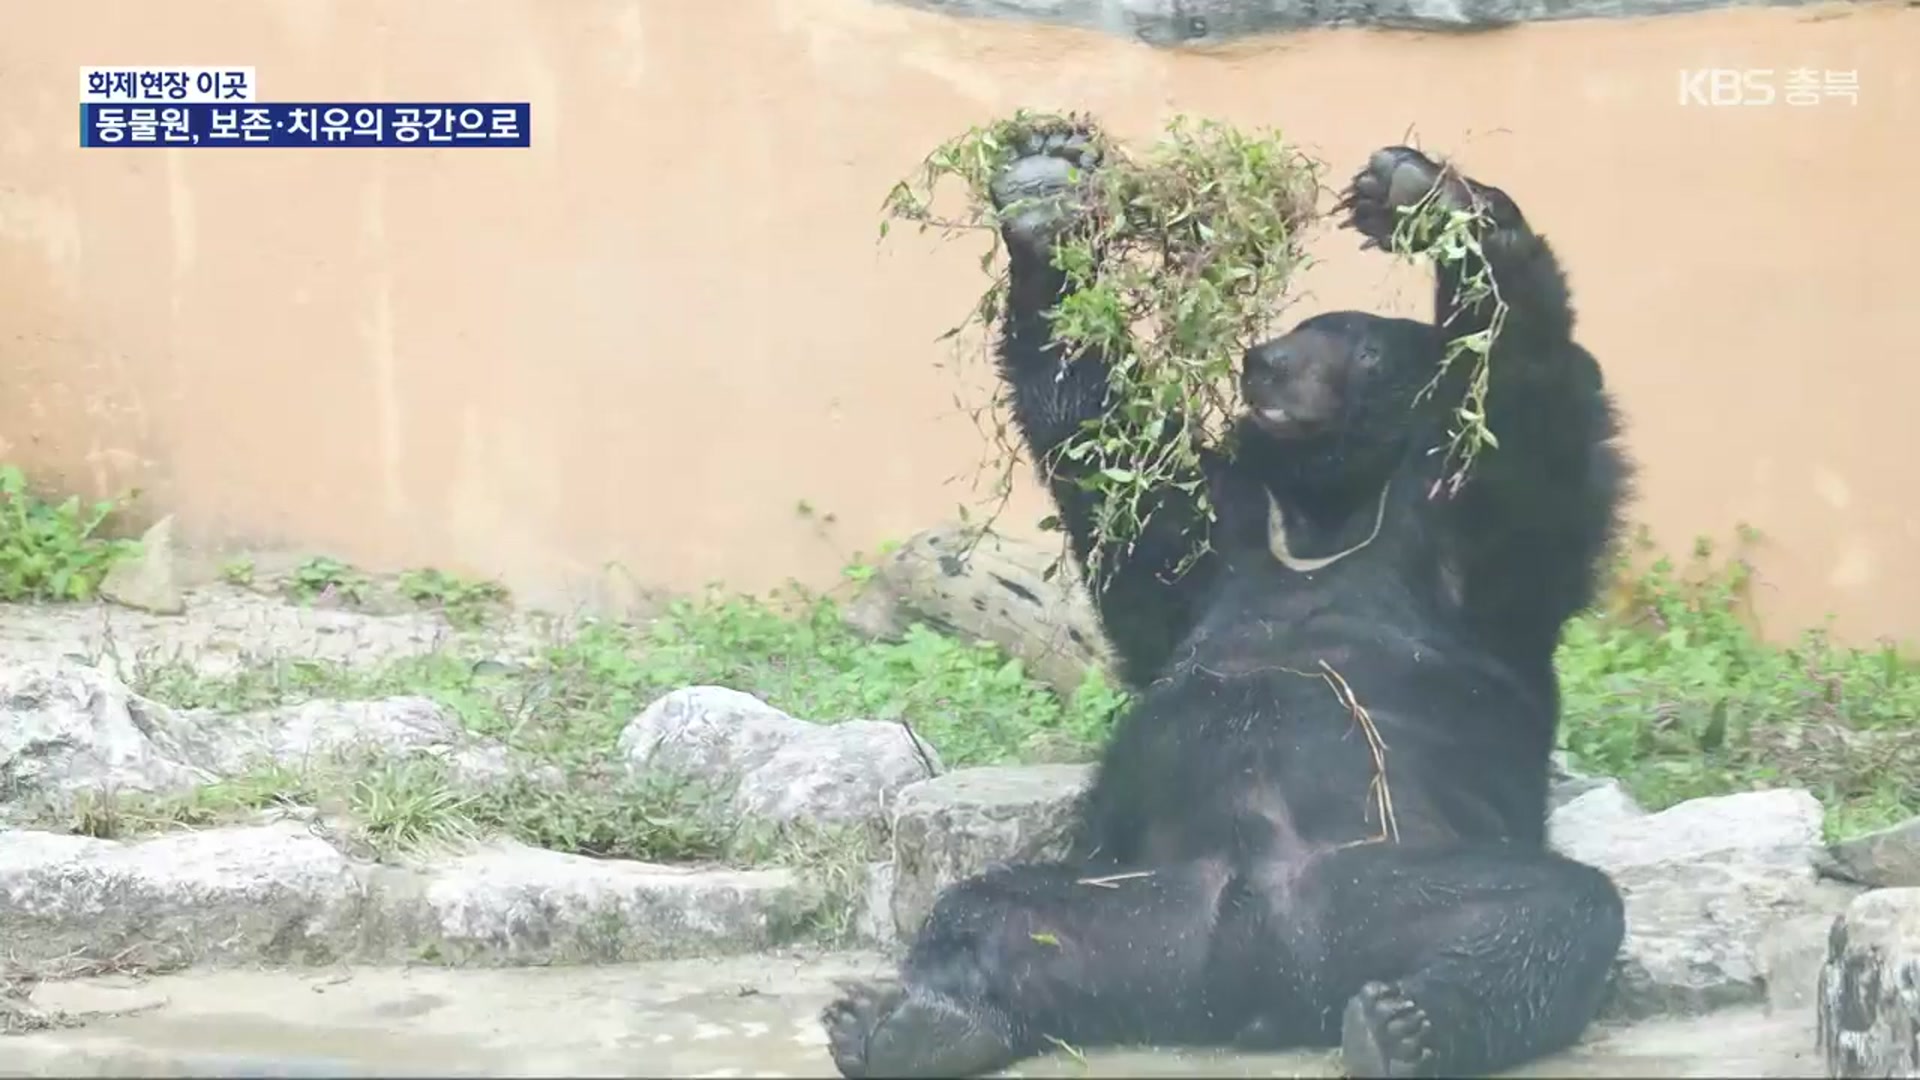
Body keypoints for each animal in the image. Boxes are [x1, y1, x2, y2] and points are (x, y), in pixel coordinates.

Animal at [825, 127, 1635, 1076]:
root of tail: (1250, 983)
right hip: (1133, 900)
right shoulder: (1224, 537)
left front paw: (1430, 199)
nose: (1266, 362)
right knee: (985, 913)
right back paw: (911, 1022)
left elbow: (1525, 416)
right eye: (1294, 329)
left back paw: (1408, 1025)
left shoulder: (1471, 547)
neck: (1329, 505)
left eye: (1360, 349)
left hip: (1395, 875)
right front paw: (1045, 190)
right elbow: (1122, 477)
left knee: (1547, 913)